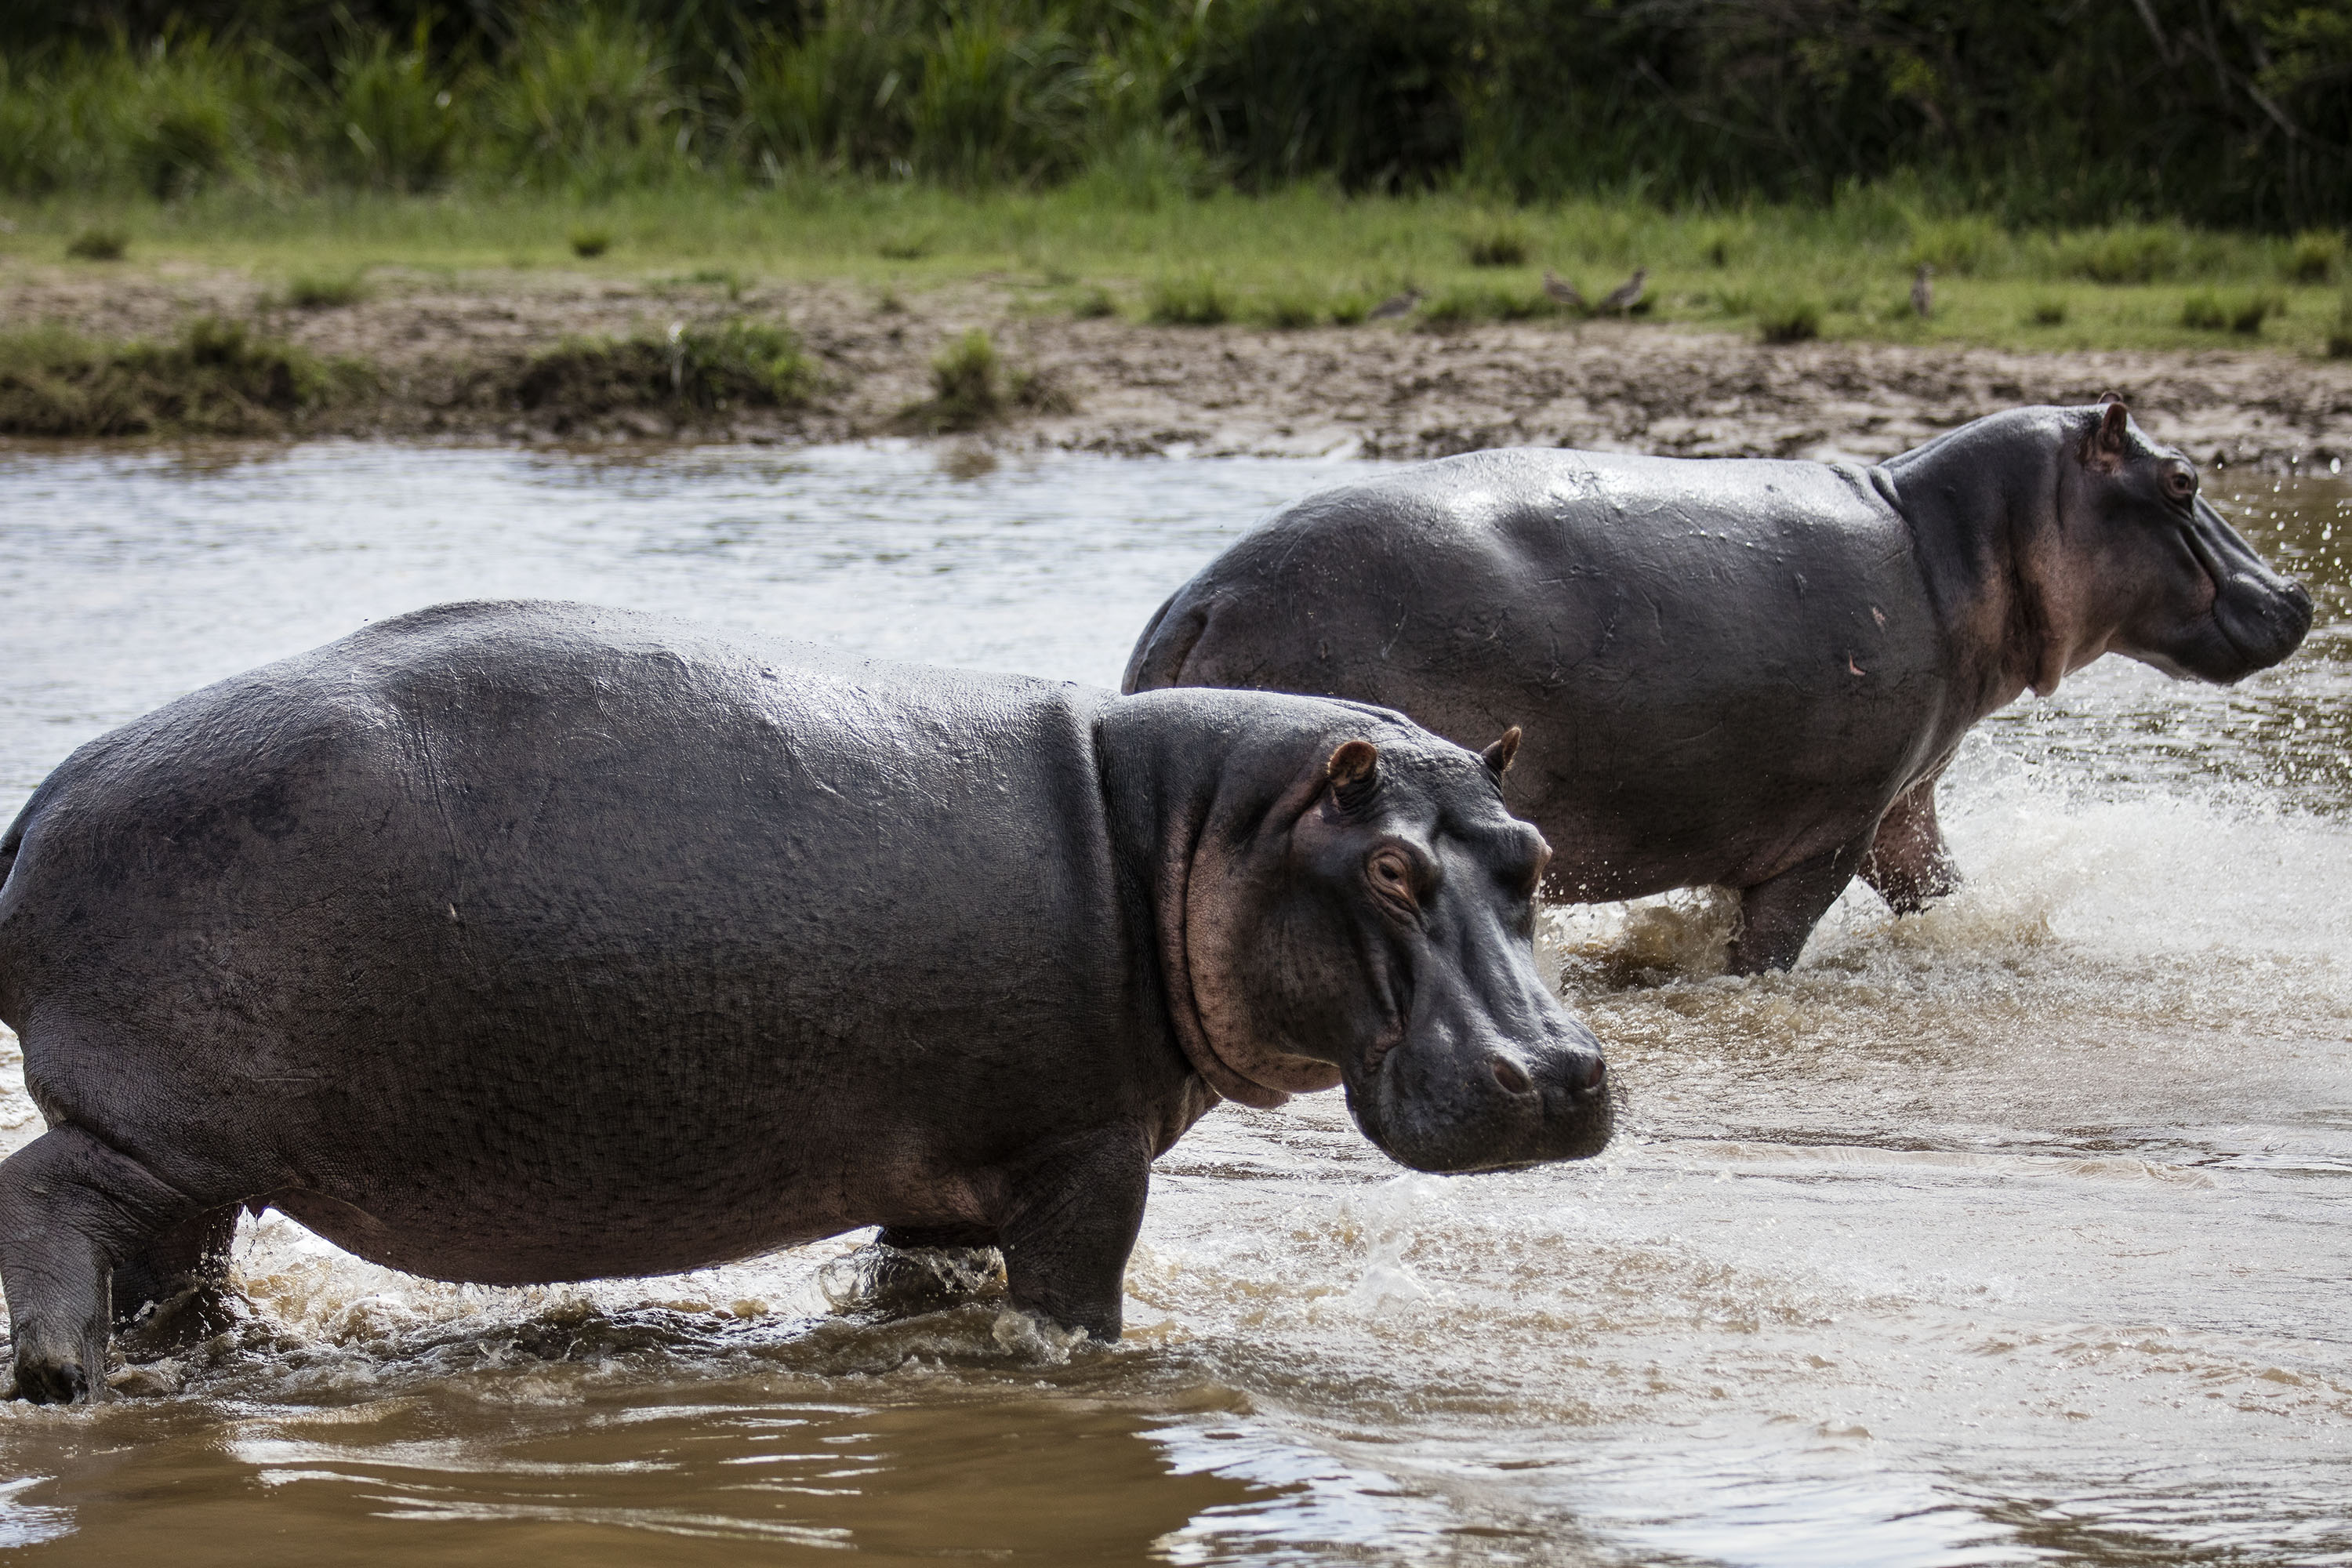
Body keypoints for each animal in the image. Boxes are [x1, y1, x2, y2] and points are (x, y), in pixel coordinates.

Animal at [0, 606, 1609, 1410]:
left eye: (1534, 857)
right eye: (1389, 868)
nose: (1561, 1074)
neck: (1190, 828)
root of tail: (41, 801)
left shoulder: (948, 1182)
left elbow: (917, 1285)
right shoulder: (1084, 1158)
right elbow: (1079, 1309)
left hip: (208, 1163)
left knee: (169, 1268)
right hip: (159, 1129)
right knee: (43, 1198)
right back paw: (61, 1382)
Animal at [1124, 404, 2314, 968]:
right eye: (2183, 479)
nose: (2300, 594)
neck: (1959, 537)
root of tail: (1198, 599)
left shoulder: (1905, 804)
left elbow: (1940, 891)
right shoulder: (1826, 835)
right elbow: (1770, 948)